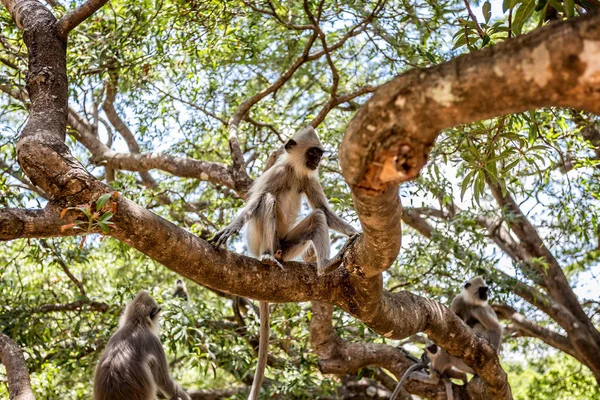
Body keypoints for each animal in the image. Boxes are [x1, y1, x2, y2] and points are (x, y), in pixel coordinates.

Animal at [211, 126, 358, 400]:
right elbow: (253, 204)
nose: (317, 161)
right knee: (267, 200)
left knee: (317, 217)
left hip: (289, 246)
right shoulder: (277, 173)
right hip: (260, 241)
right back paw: (269, 258)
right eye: (312, 153)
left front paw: (355, 233)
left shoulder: (309, 178)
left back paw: (325, 265)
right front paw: (231, 227)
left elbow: (324, 211)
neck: (294, 170)